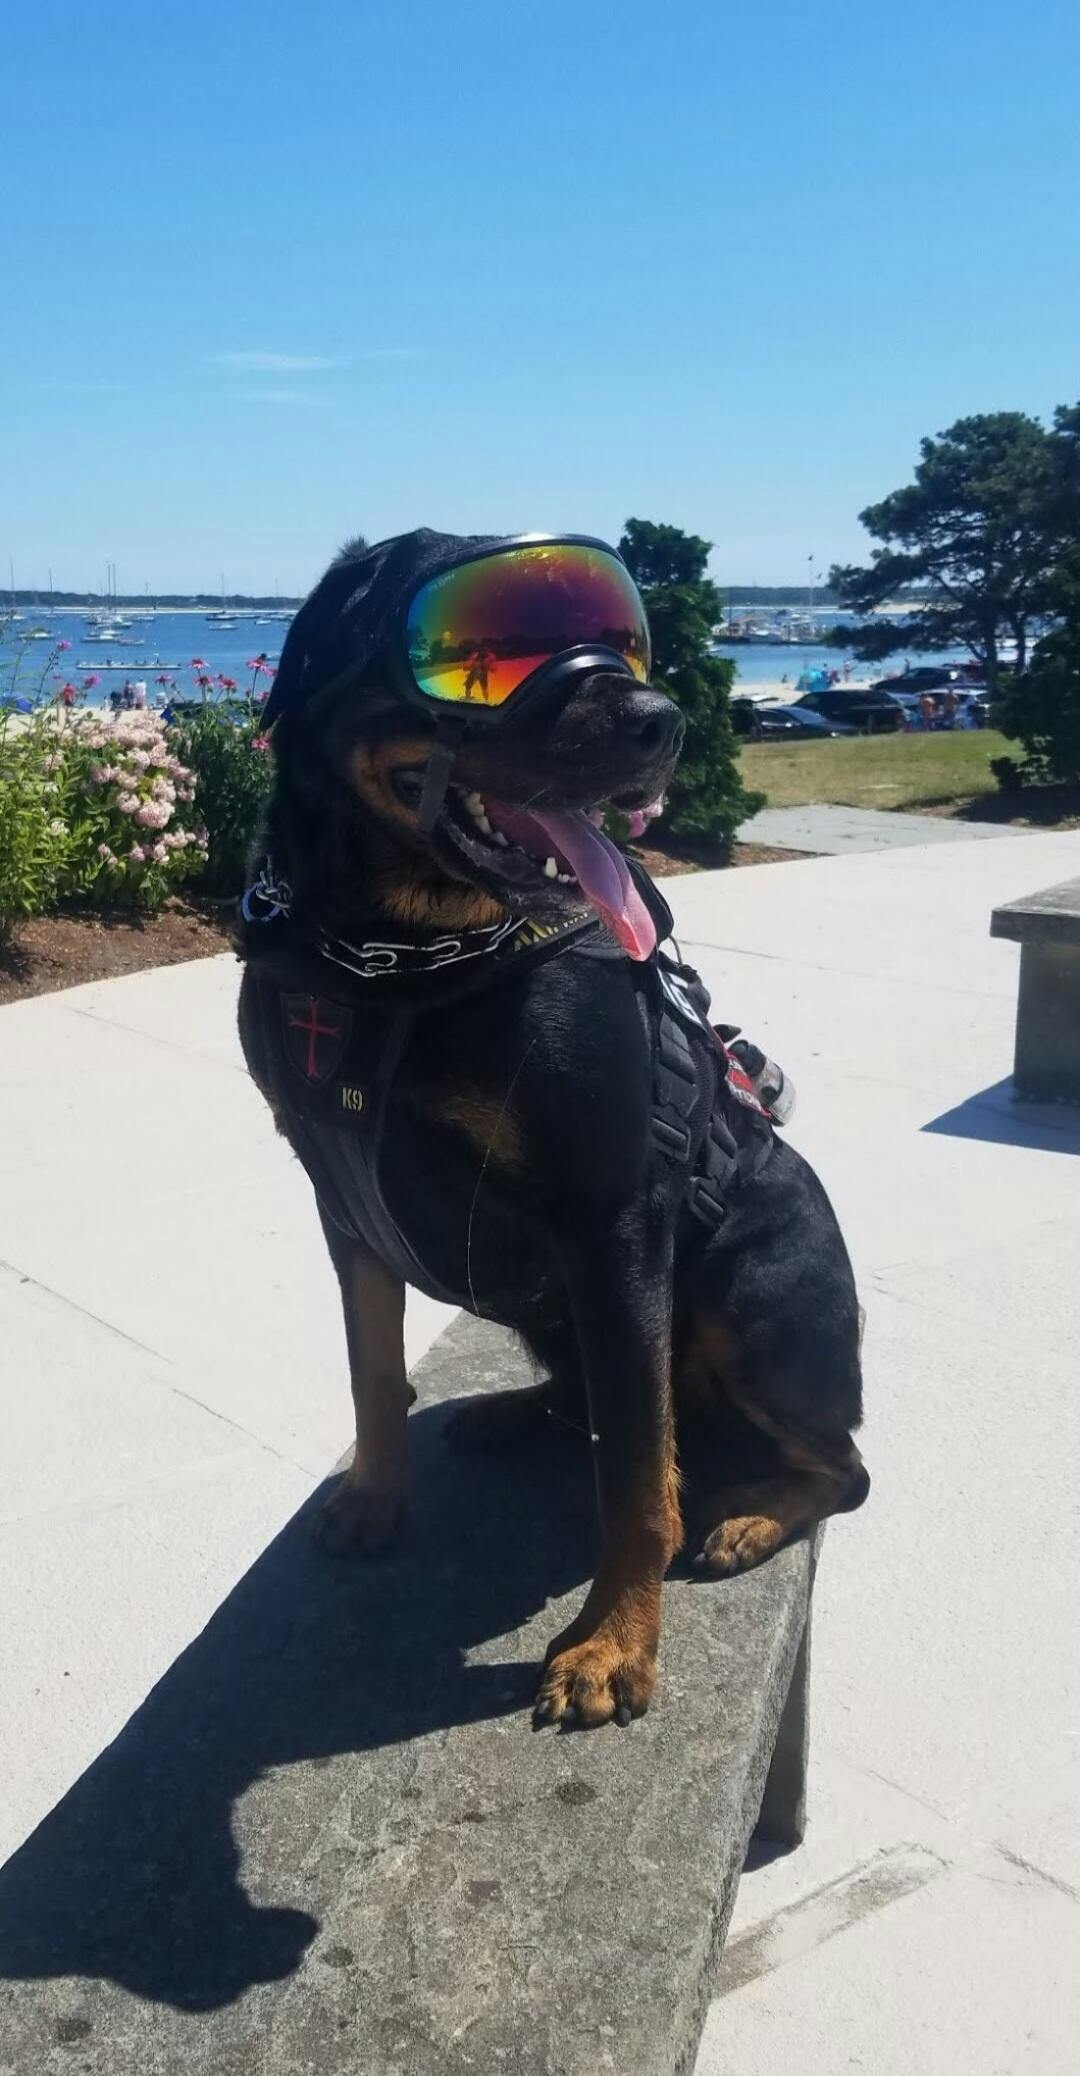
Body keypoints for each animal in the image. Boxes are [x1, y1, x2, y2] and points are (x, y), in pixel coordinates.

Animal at [237, 530, 868, 1731]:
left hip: (750, 1296)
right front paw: (375, 1496)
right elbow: (371, 1366)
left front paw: (612, 1646)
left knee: (838, 1465)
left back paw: (749, 1517)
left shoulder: (609, 1216)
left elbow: (635, 1478)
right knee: (600, 1397)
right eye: (476, 649)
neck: (400, 960)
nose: (662, 721)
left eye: (628, 636)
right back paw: (513, 1411)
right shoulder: (337, 1194)